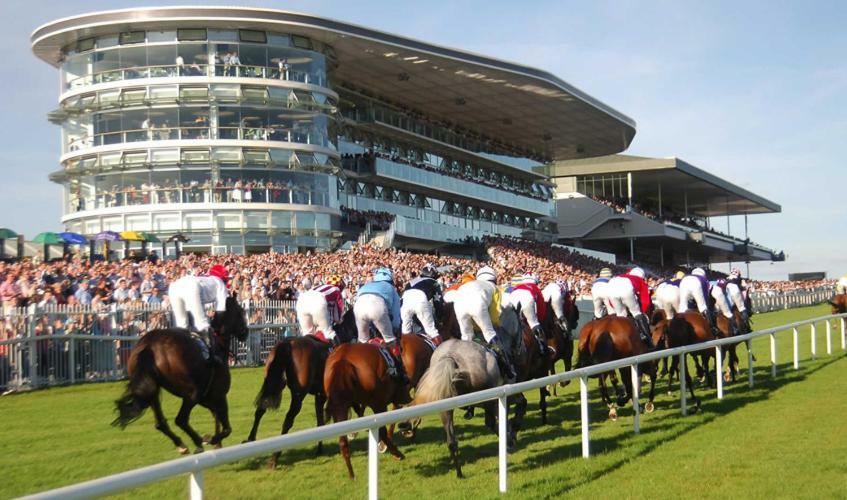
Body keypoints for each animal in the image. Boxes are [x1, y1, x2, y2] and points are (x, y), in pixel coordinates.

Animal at [112, 294, 247, 456]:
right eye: (241, 312)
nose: (245, 332)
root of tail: (149, 346)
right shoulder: (219, 395)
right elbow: (227, 428)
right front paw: (212, 439)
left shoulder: (207, 399)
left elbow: (216, 417)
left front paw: (217, 443)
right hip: (191, 393)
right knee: (181, 419)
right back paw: (198, 441)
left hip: (153, 391)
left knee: (160, 423)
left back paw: (182, 444)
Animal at [324, 342, 410, 478]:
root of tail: (343, 358)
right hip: (378, 403)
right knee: (382, 431)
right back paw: (396, 453)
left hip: (340, 405)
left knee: (342, 440)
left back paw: (351, 474)